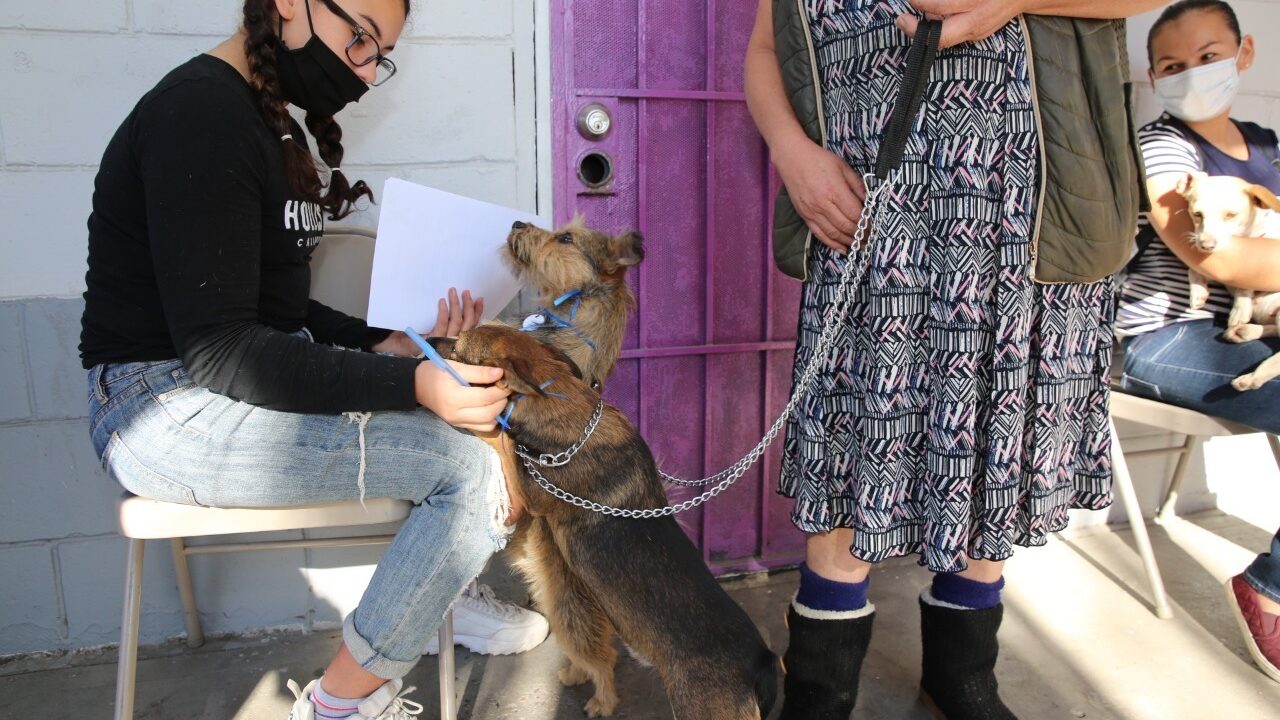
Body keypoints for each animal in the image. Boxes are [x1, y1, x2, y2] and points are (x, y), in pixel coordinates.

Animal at [437, 326, 778, 717]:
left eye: (458, 349)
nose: (426, 343)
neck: (561, 397)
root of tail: (761, 661)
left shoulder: (530, 495)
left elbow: (501, 438)